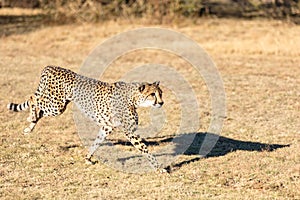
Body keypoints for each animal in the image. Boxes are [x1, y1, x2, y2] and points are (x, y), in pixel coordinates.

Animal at [7, 66, 166, 173]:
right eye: (152, 94)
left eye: (161, 93)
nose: (161, 102)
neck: (132, 98)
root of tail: (51, 67)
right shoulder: (130, 132)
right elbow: (145, 149)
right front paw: (159, 168)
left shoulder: (106, 127)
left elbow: (96, 143)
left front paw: (87, 158)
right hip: (56, 106)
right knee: (33, 98)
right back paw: (31, 117)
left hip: (57, 105)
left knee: (37, 105)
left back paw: (30, 126)